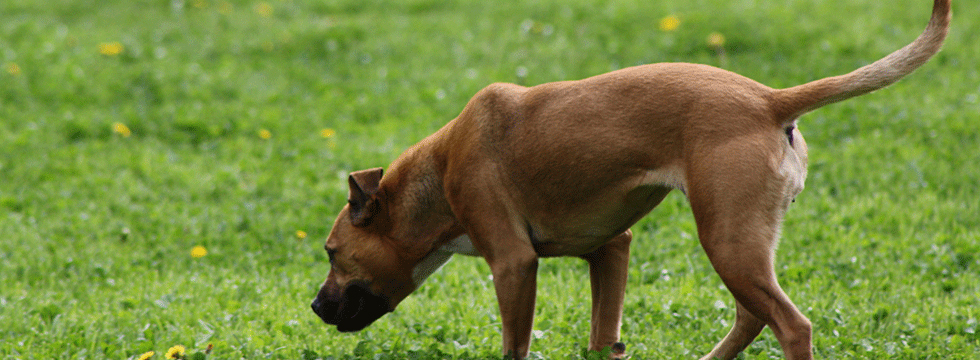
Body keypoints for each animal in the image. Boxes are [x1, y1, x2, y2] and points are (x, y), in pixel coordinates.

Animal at [312, 1, 948, 358]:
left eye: (331, 251)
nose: (316, 307)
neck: (438, 175)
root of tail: (771, 100)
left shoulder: (514, 265)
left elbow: (515, 346)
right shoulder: (611, 249)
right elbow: (604, 337)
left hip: (727, 240)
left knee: (791, 326)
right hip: (741, 244)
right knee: (752, 316)